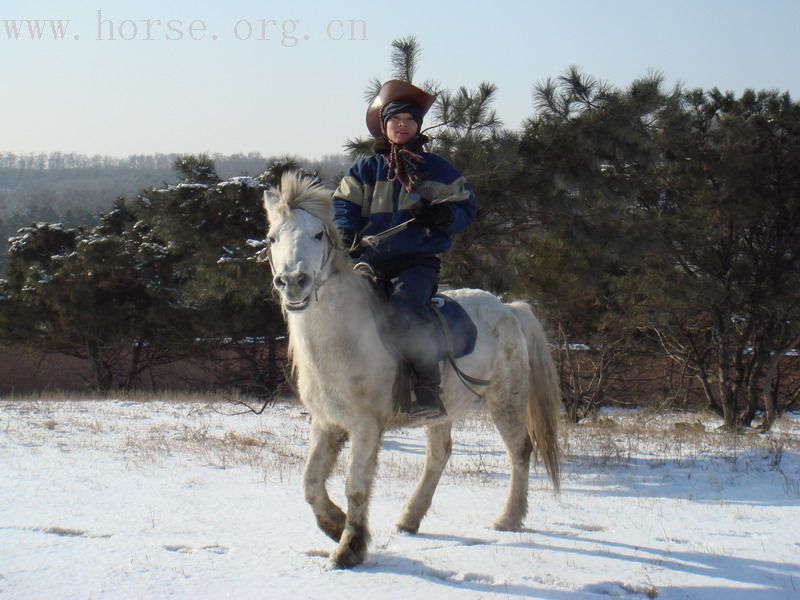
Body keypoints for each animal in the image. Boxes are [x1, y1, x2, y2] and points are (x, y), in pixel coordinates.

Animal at [262, 171, 564, 568]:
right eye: (272, 237)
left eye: (317, 235)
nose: (293, 282)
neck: (346, 334)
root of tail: (509, 308)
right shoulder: (326, 423)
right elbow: (310, 482)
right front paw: (334, 525)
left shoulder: (366, 426)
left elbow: (356, 486)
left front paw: (349, 549)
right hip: (442, 409)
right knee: (439, 454)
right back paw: (410, 518)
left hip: (506, 400)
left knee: (520, 451)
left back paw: (509, 518)